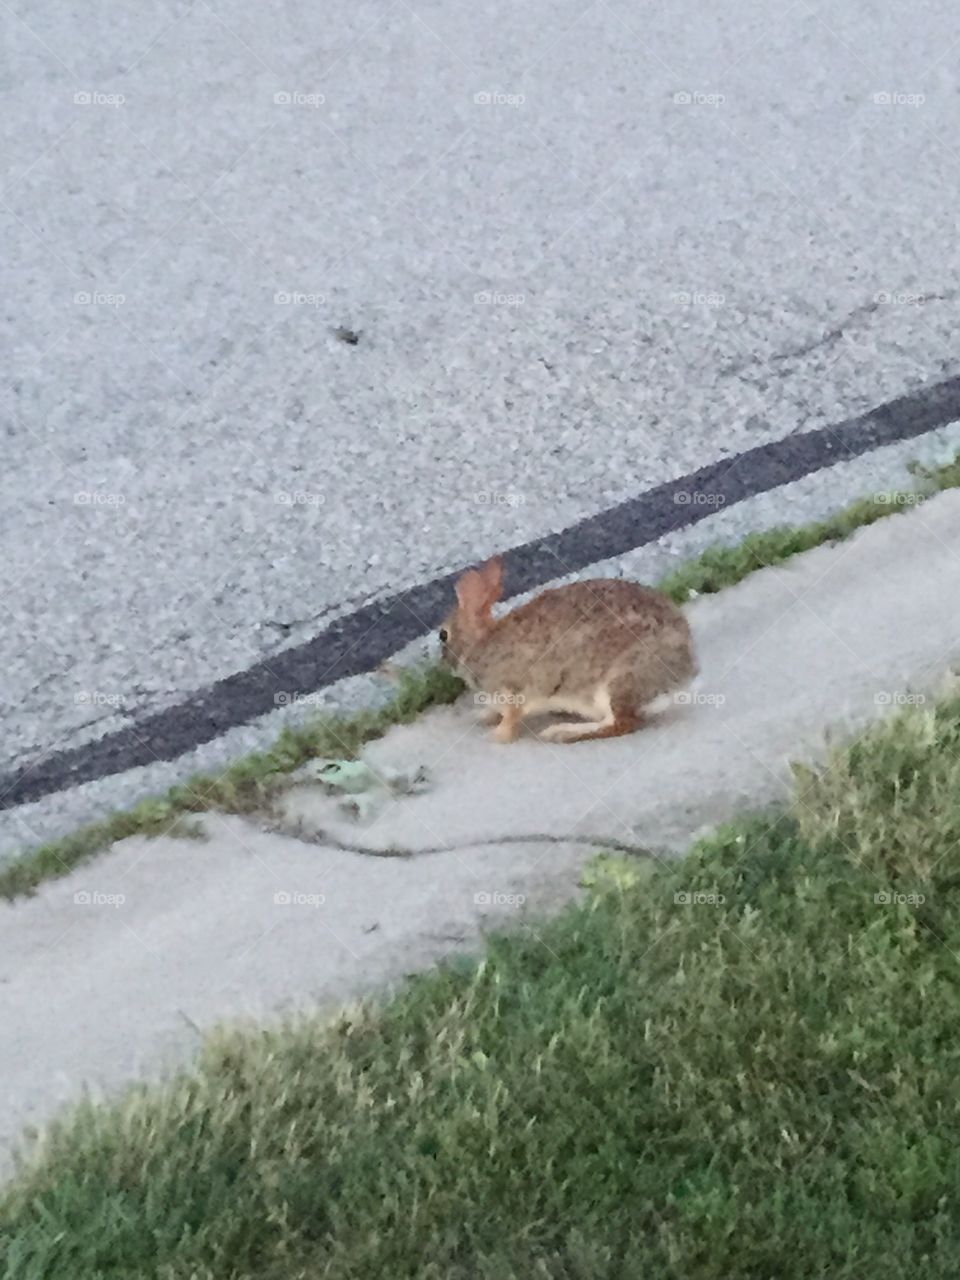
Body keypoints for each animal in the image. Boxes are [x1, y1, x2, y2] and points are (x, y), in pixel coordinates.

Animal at [439, 556, 697, 744]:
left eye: (443, 635)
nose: (445, 663)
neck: (479, 644)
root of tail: (682, 677)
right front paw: (483, 716)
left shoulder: (513, 688)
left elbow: (512, 716)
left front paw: (497, 736)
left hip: (617, 681)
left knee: (621, 723)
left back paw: (562, 732)